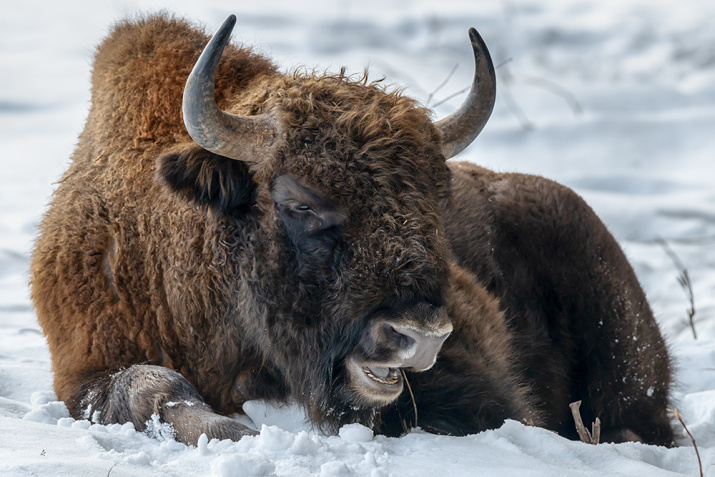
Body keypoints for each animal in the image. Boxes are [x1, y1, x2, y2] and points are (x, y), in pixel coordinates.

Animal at [30, 14, 676, 446]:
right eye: (299, 204)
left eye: (437, 198)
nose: (421, 334)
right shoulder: (85, 366)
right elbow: (151, 387)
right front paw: (236, 432)